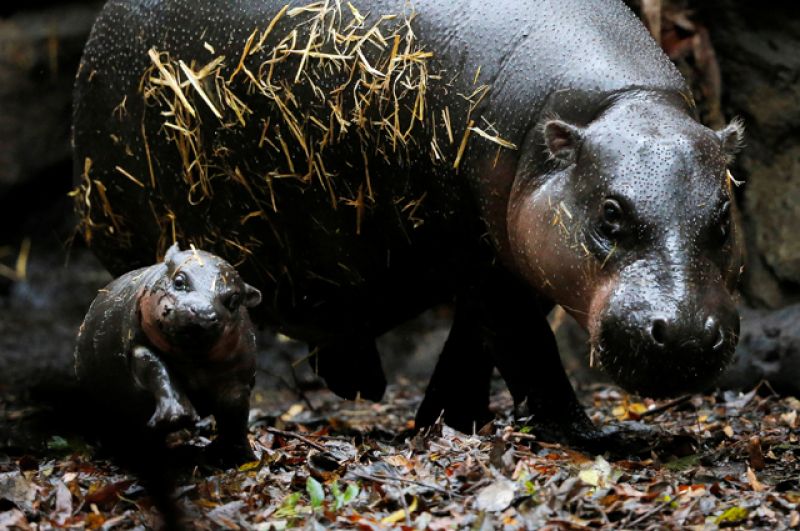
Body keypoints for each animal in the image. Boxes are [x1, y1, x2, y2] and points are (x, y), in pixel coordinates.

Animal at [74, 243, 260, 464]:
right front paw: (177, 417)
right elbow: (158, 371)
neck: (194, 362)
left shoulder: (238, 373)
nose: (203, 312)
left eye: (234, 300)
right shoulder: (138, 348)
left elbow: (235, 413)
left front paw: (242, 458)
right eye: (179, 281)